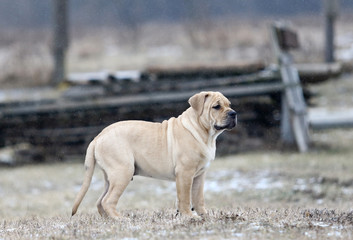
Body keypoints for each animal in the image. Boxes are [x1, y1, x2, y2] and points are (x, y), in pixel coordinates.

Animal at [71, 91, 236, 218]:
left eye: (229, 105)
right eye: (216, 106)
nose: (233, 113)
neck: (204, 133)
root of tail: (98, 136)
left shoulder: (199, 175)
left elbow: (198, 197)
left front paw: (204, 215)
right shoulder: (185, 173)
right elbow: (184, 197)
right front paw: (189, 216)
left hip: (110, 177)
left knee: (100, 201)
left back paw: (108, 220)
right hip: (122, 172)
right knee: (108, 201)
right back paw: (120, 219)